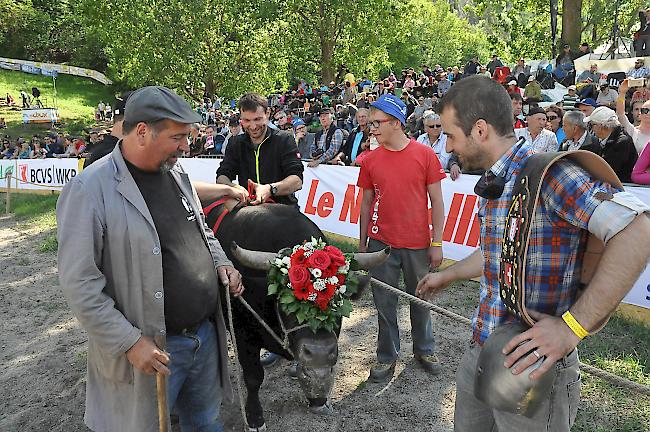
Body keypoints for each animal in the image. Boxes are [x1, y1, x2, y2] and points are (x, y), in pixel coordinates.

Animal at [202, 199, 384, 432]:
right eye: (287, 303)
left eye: (338, 303)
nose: (319, 353)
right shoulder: (243, 335)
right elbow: (253, 377)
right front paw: (255, 418)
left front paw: (318, 400)